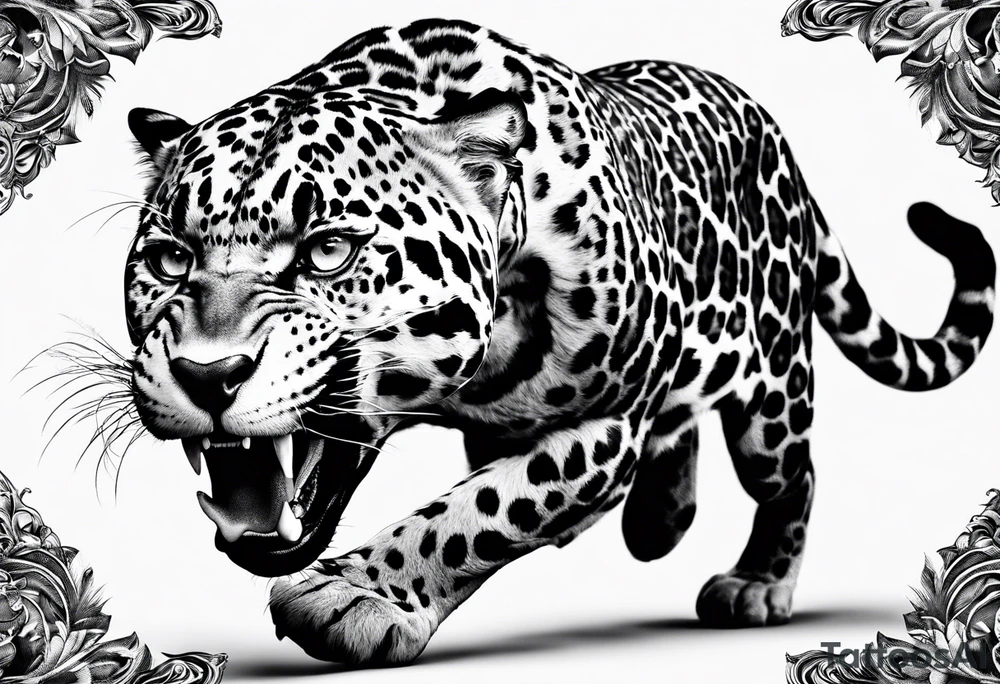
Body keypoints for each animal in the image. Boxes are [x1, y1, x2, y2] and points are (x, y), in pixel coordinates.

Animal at [121, 19, 995, 665]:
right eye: (169, 259)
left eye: (329, 250)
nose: (209, 374)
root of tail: (773, 133)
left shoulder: (604, 426)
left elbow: (478, 511)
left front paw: (358, 596)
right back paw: (660, 522)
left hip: (773, 394)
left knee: (792, 475)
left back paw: (757, 583)